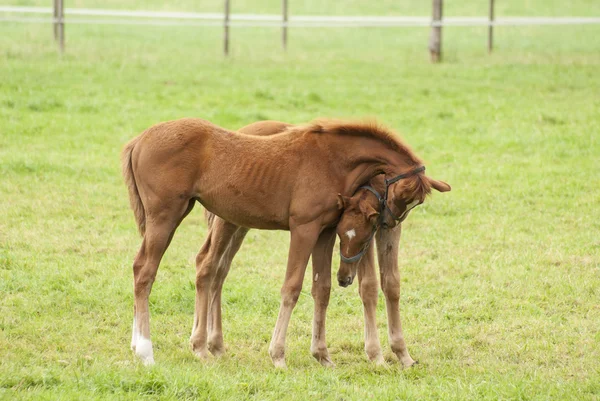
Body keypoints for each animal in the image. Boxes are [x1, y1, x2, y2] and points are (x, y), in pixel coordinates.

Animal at [122, 116, 448, 366]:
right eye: (403, 195)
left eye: (415, 203)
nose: (388, 223)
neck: (332, 160)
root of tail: (138, 140)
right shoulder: (304, 229)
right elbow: (292, 288)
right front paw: (278, 355)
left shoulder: (324, 231)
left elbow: (322, 288)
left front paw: (322, 355)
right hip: (167, 216)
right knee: (146, 271)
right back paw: (147, 351)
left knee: (195, 269)